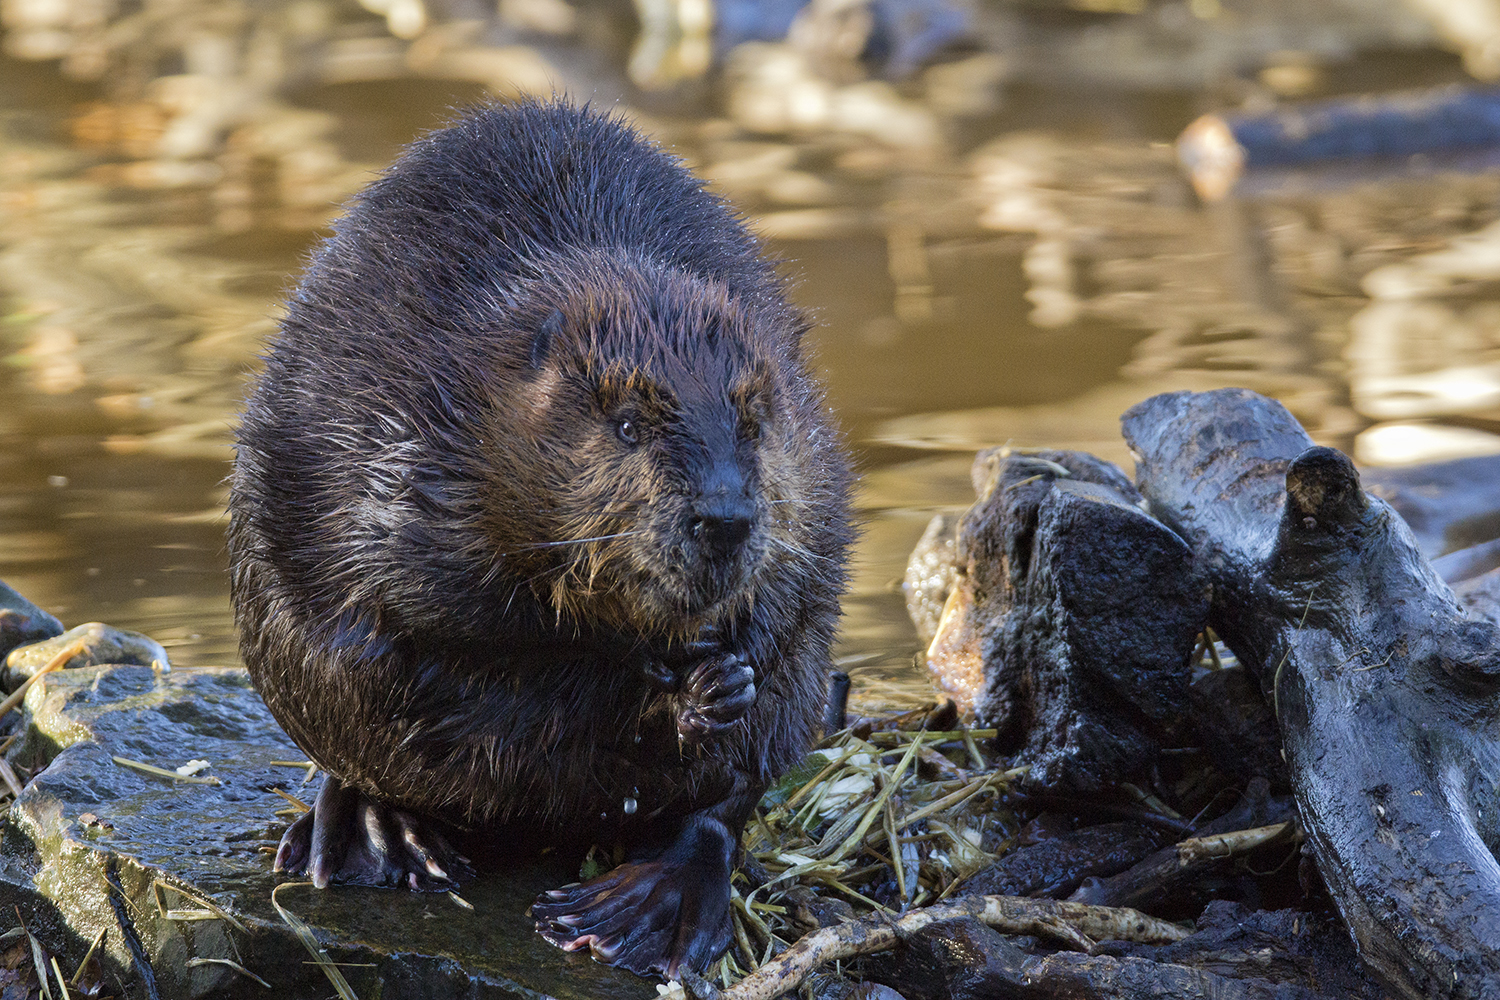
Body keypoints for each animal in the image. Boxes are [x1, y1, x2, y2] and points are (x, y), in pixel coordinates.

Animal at [223, 101, 858, 977]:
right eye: (626, 425)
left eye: (754, 422)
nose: (724, 516)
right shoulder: (385, 460)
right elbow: (443, 659)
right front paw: (672, 686)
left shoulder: (814, 475)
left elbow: (795, 595)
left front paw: (725, 678)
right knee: (356, 753)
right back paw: (372, 841)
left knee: (719, 809)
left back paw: (641, 911)